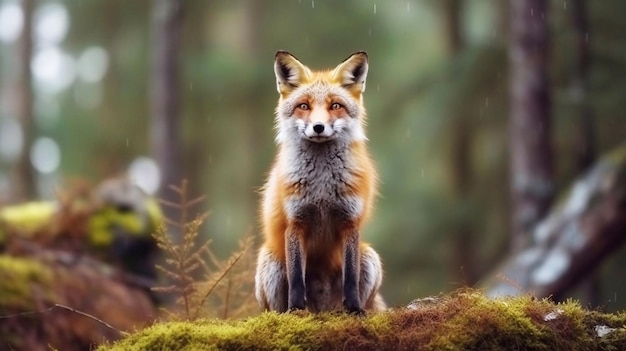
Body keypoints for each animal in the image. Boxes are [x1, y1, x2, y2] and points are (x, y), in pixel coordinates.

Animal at [255, 51, 386, 314]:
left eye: (335, 105)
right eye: (304, 106)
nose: (318, 127)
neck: (322, 189)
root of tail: (323, 309)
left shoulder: (350, 222)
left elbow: (350, 277)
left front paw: (354, 310)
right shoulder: (295, 223)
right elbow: (297, 278)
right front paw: (296, 311)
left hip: (370, 257)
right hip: (272, 263)